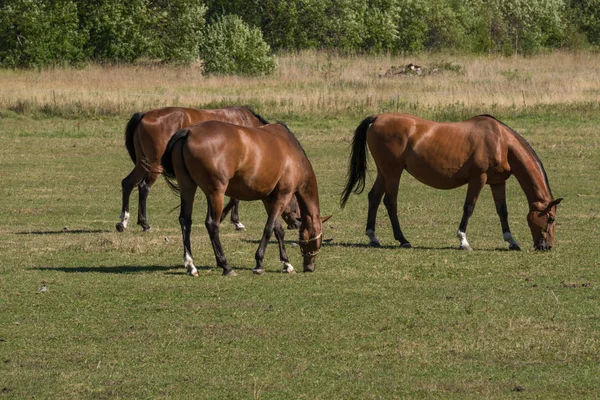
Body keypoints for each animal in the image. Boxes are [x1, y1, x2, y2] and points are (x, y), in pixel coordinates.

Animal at [115, 104, 300, 233]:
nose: (296, 223)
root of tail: (145, 114)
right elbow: (235, 199)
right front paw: (233, 220)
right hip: (154, 165)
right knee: (143, 187)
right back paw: (145, 223)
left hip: (142, 163)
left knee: (128, 183)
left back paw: (123, 221)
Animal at [161, 119, 328, 276]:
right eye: (319, 241)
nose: (310, 267)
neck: (293, 154)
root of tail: (189, 132)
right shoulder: (283, 195)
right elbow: (269, 228)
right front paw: (259, 263)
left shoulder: (269, 199)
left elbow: (278, 229)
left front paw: (286, 263)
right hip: (216, 192)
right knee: (212, 224)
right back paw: (226, 266)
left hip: (187, 188)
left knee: (185, 221)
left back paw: (191, 265)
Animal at [342, 112, 564, 250]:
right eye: (551, 219)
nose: (547, 247)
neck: (501, 142)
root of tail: (378, 118)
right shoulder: (478, 178)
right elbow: (469, 208)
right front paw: (463, 241)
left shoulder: (497, 182)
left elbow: (502, 211)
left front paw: (512, 241)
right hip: (392, 172)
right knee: (390, 202)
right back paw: (403, 239)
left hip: (384, 172)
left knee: (374, 197)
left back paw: (373, 237)